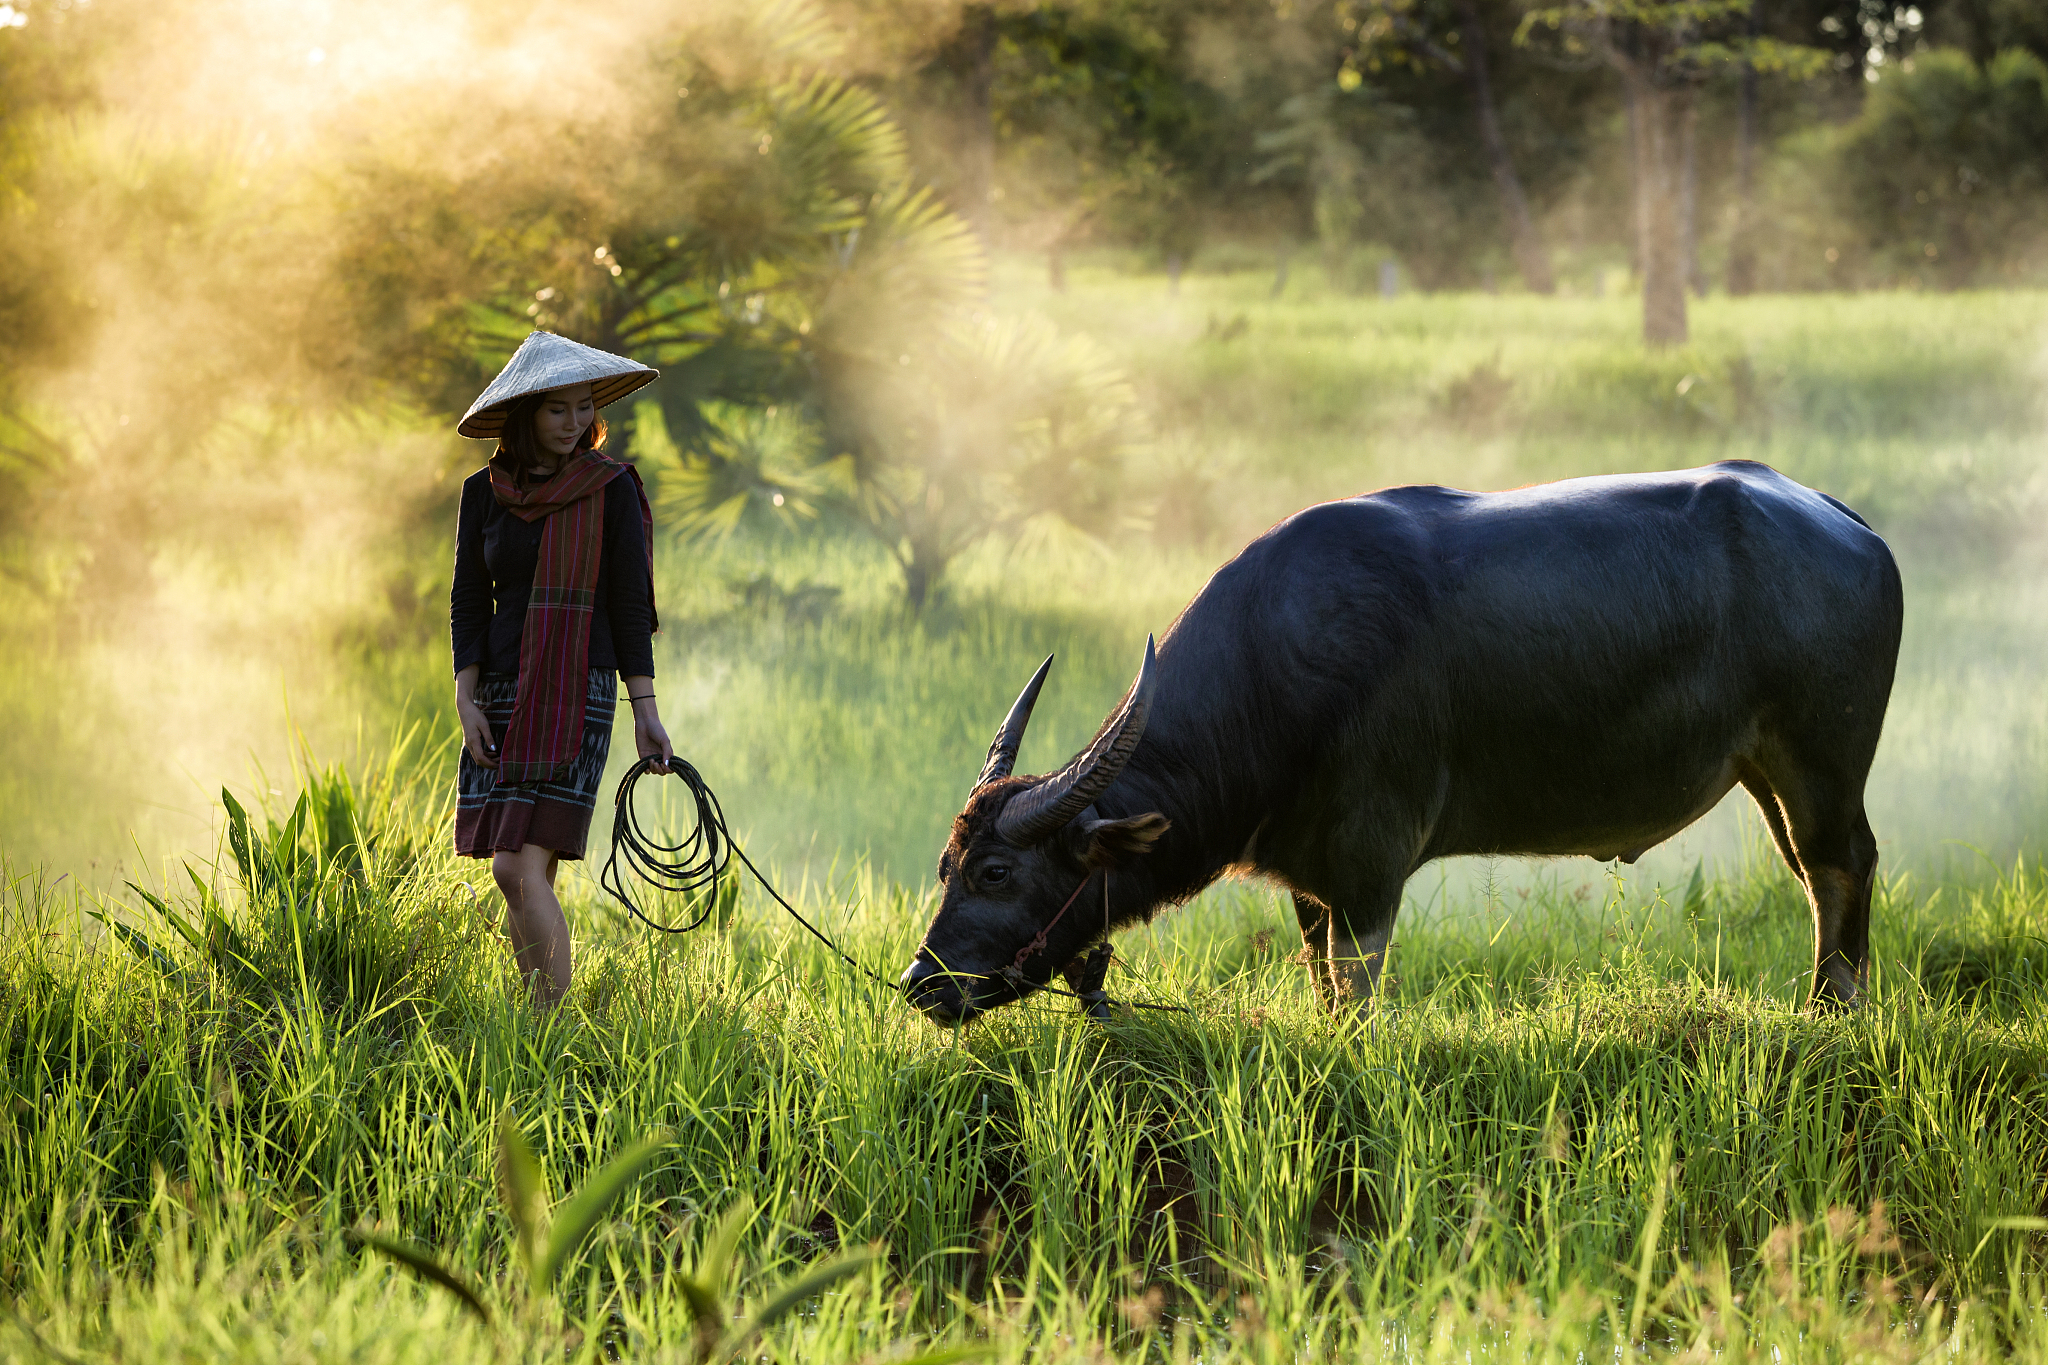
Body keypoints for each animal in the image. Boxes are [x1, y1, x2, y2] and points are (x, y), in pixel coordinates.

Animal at [905, 464, 1908, 1019]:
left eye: (997, 871)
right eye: (945, 865)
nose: (921, 982)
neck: (1275, 673)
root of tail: (1845, 523)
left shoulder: (1369, 863)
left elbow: (1355, 988)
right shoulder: (1311, 877)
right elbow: (1319, 977)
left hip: (1822, 762)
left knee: (1843, 863)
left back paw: (1829, 1010)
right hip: (1765, 770)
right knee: (1812, 870)